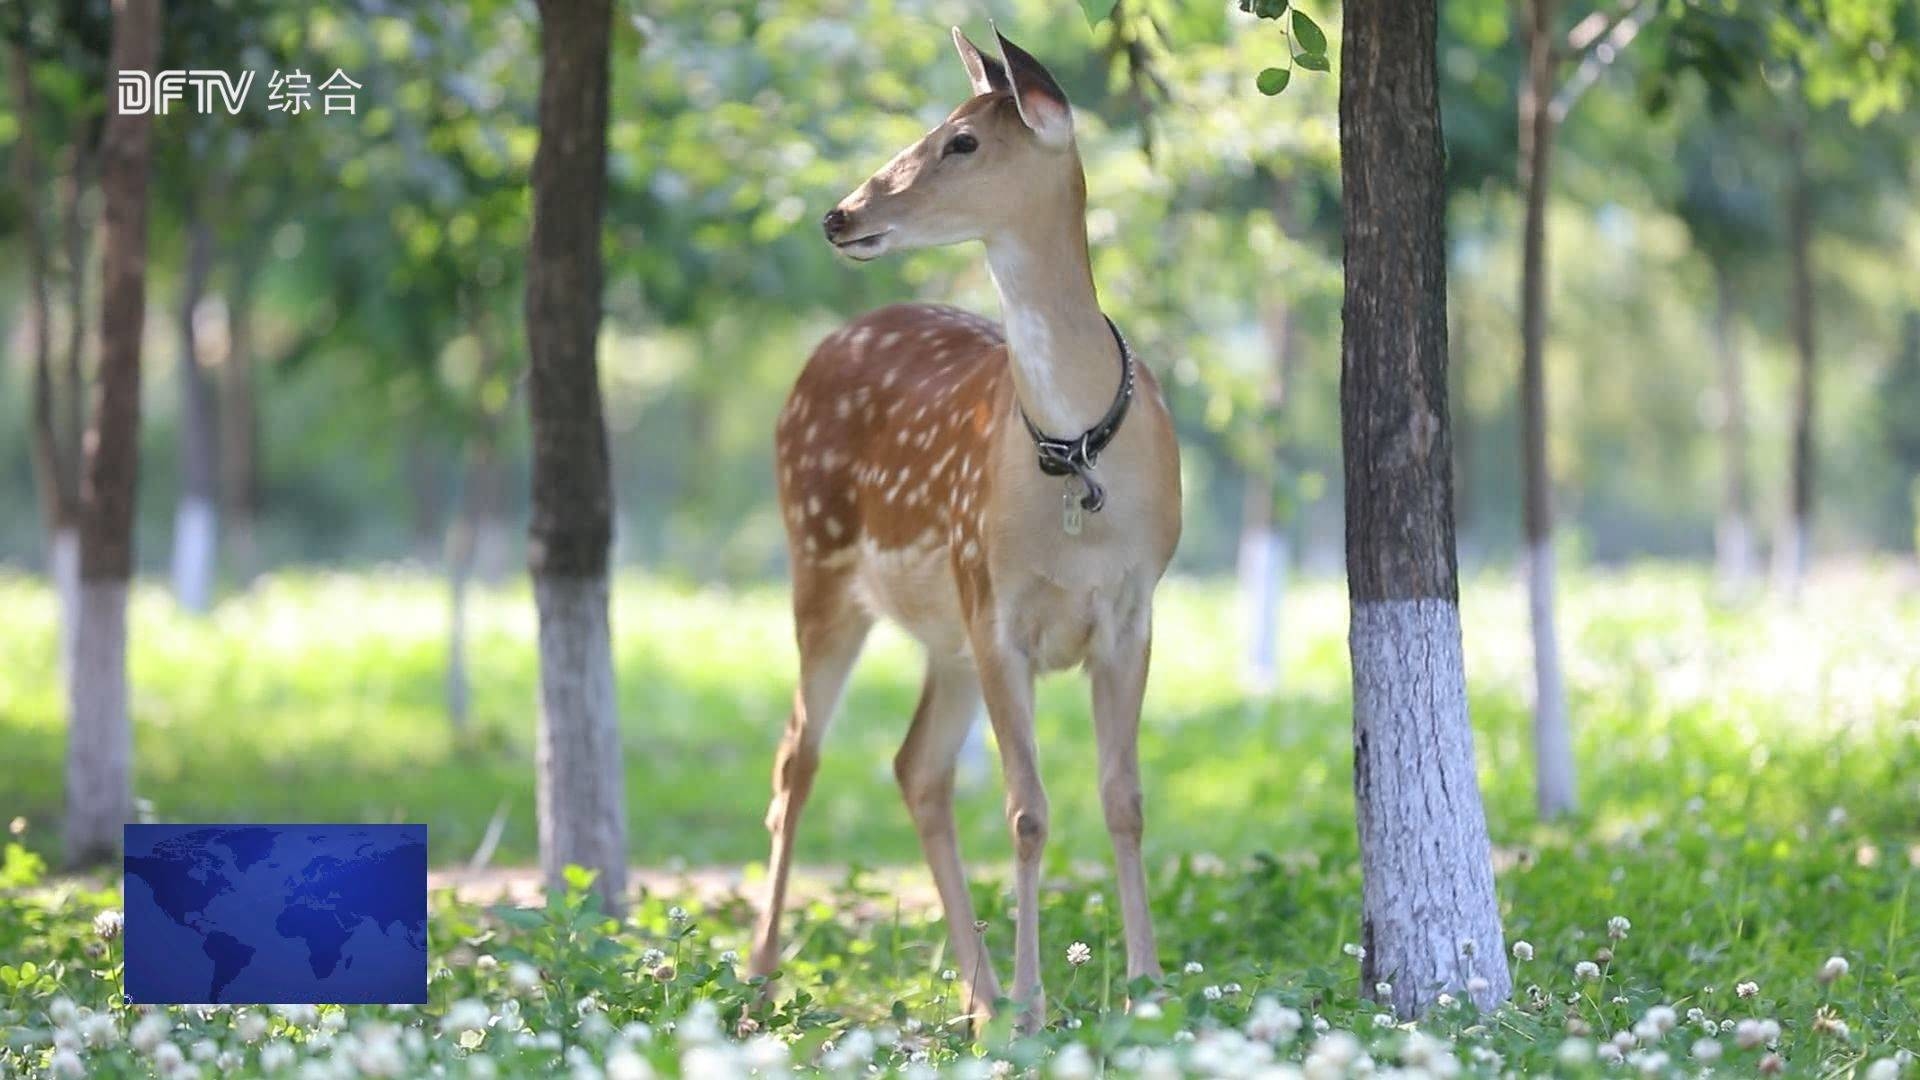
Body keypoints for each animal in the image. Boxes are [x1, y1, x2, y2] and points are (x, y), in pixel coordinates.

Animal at [752, 27, 1182, 1022]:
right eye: (937, 126)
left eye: (963, 140)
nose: (838, 215)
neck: (1076, 448)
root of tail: (824, 350)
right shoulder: (998, 608)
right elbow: (1027, 810)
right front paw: (1034, 1004)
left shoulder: (1132, 609)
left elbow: (1124, 798)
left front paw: (1146, 987)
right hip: (823, 564)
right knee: (798, 757)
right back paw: (761, 973)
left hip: (942, 629)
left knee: (917, 768)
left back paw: (976, 993)